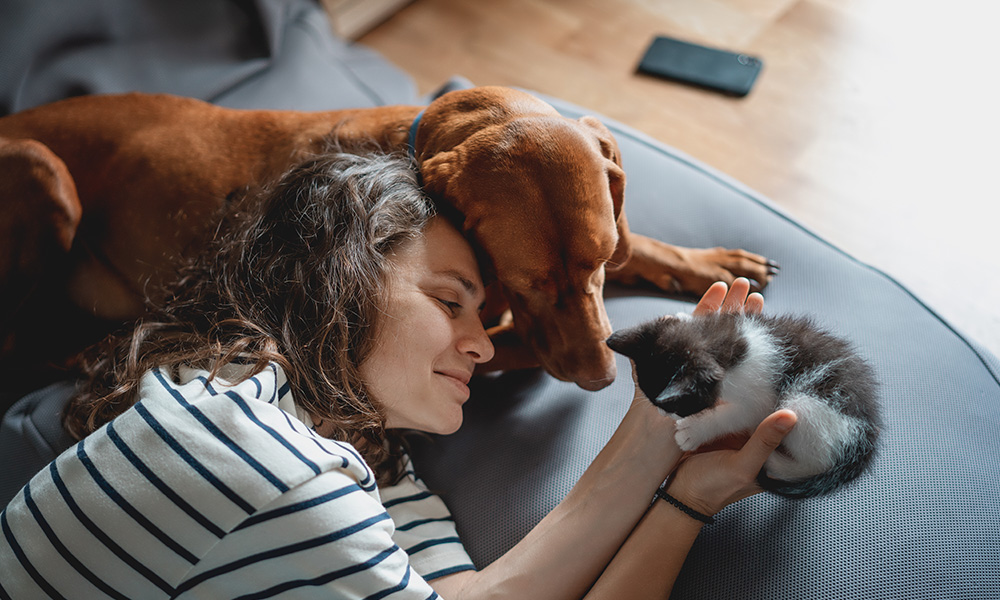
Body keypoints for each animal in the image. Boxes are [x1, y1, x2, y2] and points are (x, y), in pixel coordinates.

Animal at [0, 84, 776, 394]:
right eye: (526, 282)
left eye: (598, 264)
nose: (601, 381)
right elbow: (512, 347)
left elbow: (643, 246)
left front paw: (710, 259)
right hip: (44, 171)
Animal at [604, 312, 880, 500]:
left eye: (678, 405)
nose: (663, 412)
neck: (727, 346)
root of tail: (866, 439)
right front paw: (681, 316)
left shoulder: (760, 400)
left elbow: (737, 415)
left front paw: (693, 431)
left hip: (807, 404)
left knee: (816, 460)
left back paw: (775, 461)